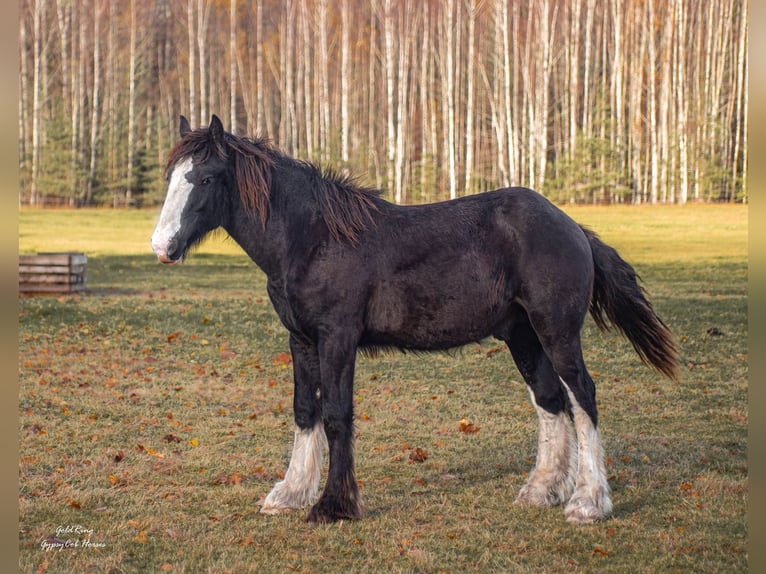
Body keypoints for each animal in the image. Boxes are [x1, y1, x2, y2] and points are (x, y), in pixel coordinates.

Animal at [150, 116, 680, 528]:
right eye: (172, 176)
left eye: (204, 179)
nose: (161, 247)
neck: (314, 239)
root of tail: (571, 226)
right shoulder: (300, 339)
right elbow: (305, 410)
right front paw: (290, 495)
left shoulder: (338, 338)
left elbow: (336, 415)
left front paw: (333, 506)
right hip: (523, 335)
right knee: (550, 401)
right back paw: (541, 491)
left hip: (557, 331)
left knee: (582, 396)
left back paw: (588, 503)